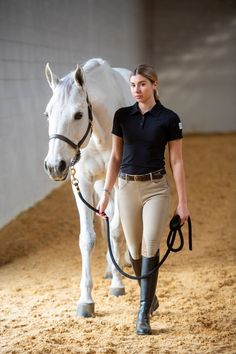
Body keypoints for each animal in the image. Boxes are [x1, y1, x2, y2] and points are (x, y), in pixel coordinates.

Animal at [44, 56, 135, 316]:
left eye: (77, 114)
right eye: (47, 114)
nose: (54, 166)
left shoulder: (121, 180)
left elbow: (116, 231)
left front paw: (118, 284)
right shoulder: (83, 181)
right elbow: (88, 238)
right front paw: (85, 300)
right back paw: (110, 267)